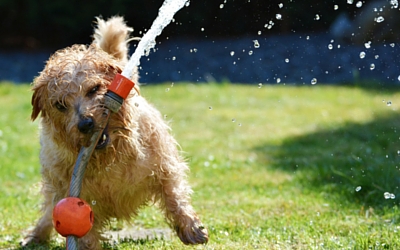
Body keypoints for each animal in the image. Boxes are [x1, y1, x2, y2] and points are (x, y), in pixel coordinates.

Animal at [21, 16, 209, 249]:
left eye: (94, 89)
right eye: (60, 105)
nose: (85, 124)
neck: (110, 158)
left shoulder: (165, 166)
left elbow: (174, 195)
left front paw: (191, 227)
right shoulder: (72, 193)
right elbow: (84, 231)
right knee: (49, 211)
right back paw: (35, 235)